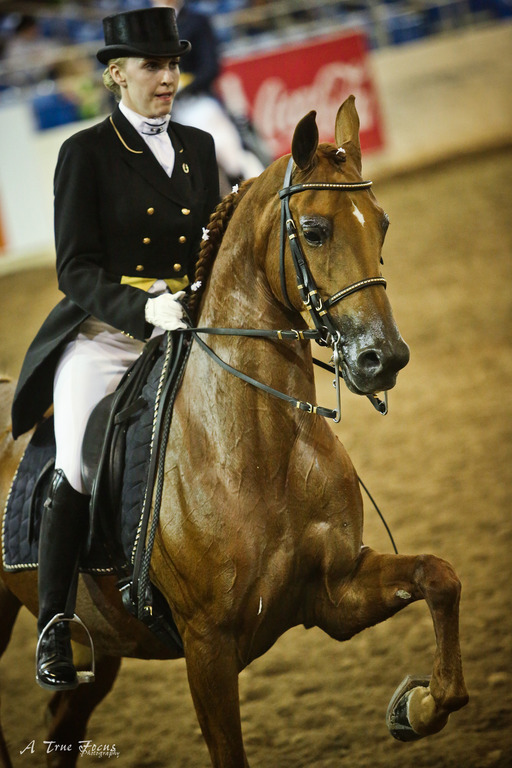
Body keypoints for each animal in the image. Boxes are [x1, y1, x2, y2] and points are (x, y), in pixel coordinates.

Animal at [0, 96, 468, 768]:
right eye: (316, 230)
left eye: (381, 225)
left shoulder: (334, 593)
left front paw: (418, 704)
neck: (257, 446)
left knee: (63, 724)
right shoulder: (208, 647)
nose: (384, 358)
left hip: (105, 646)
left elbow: (439, 576)